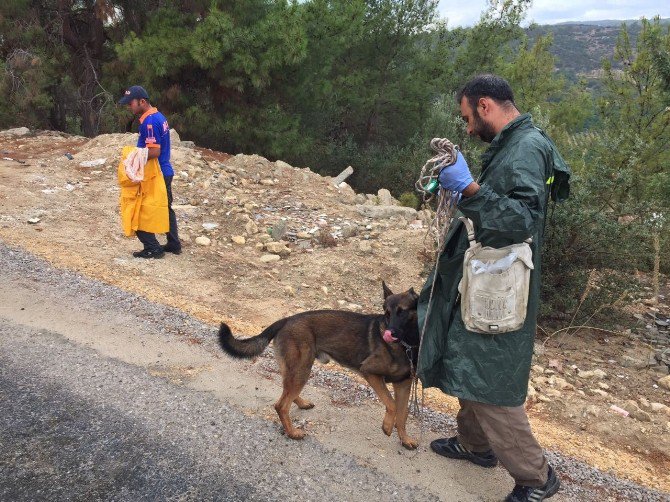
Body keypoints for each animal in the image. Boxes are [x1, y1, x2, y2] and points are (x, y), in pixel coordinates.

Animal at [220, 284, 420, 450]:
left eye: (402, 312)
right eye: (387, 313)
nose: (389, 333)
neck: (406, 344)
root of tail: (286, 320)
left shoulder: (404, 385)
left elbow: (403, 414)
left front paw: (405, 439)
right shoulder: (370, 373)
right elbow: (392, 404)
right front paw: (387, 426)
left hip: (295, 368)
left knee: (287, 392)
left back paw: (300, 403)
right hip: (302, 369)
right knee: (281, 405)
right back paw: (293, 433)